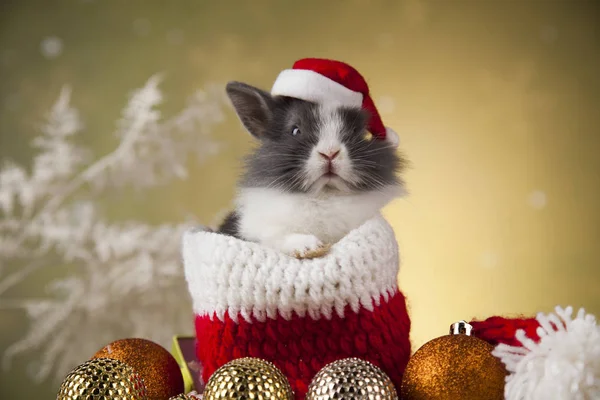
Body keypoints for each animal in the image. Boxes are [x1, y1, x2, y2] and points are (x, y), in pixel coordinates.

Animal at [217, 81, 408, 258]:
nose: (330, 153)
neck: (323, 194)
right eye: (295, 130)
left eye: (356, 132)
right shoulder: (258, 230)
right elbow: (278, 238)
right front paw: (309, 246)